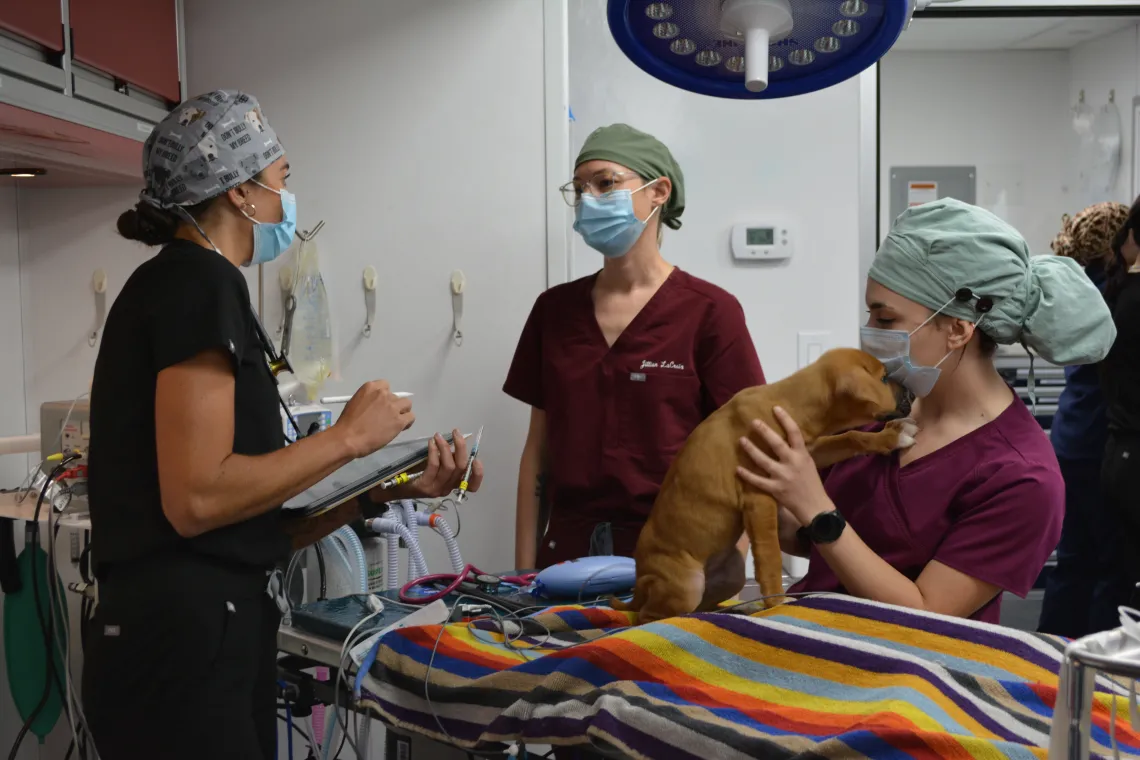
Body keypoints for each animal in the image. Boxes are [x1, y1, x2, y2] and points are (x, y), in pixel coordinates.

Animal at [611, 348, 912, 624]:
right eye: (884, 378)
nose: (911, 392)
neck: (788, 401)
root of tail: (640, 579)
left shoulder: (808, 452)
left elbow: (849, 438)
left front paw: (891, 437)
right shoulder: (759, 498)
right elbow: (770, 555)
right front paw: (776, 602)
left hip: (730, 573)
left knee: (697, 606)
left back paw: (729, 610)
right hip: (686, 584)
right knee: (648, 616)